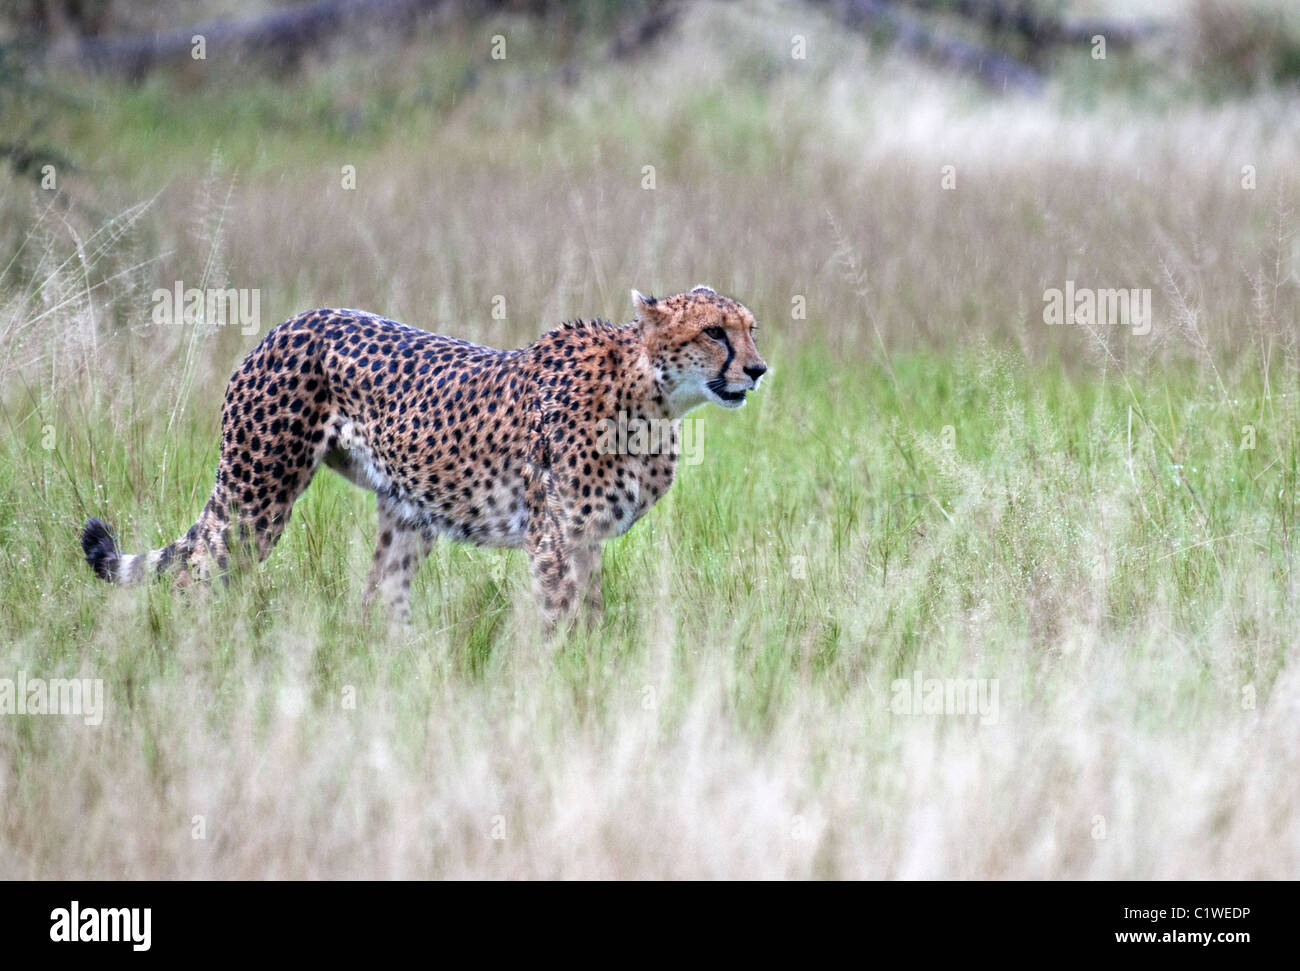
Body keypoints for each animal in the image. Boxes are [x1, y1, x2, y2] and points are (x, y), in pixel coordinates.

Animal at [81, 286, 767, 631]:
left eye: (751, 327)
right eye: (714, 332)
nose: (759, 369)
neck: (651, 397)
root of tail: (286, 323)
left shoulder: (587, 537)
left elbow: (590, 612)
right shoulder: (555, 535)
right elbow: (560, 616)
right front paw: (567, 682)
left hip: (407, 514)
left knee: (377, 599)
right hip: (258, 495)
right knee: (197, 572)